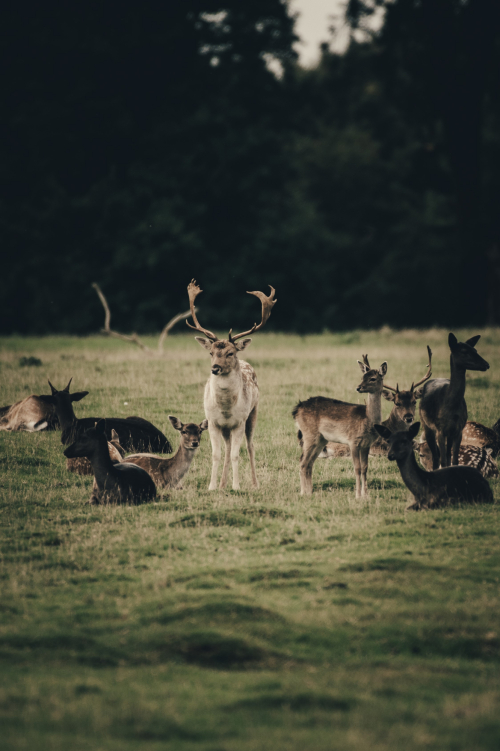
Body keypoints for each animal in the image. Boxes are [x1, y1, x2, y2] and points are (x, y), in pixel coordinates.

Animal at [186, 279, 276, 490]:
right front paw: (212, 486)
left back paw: (254, 483)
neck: (226, 408)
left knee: (250, 446)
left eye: (230, 353)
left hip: (253, 413)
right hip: (226, 428)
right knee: (227, 449)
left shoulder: (239, 422)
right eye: (211, 352)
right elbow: (216, 454)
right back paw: (222, 484)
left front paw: (236, 486)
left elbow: (237, 454)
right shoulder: (213, 422)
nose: (215, 368)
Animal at [292, 354, 388, 496]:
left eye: (372, 378)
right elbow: (357, 468)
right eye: (362, 377)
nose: (358, 387)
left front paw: (366, 495)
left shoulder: (366, 444)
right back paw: (303, 493)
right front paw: (358, 495)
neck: (368, 420)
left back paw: (310, 491)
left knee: (309, 463)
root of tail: (296, 409)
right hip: (309, 435)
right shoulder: (353, 441)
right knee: (302, 461)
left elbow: (365, 468)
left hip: (321, 440)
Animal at [419, 334, 490, 469]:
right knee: (436, 458)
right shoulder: (440, 429)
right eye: (464, 351)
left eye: (475, 350)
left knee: (447, 455)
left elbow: (454, 459)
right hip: (426, 425)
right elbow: (442, 461)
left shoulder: (458, 429)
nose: (486, 364)